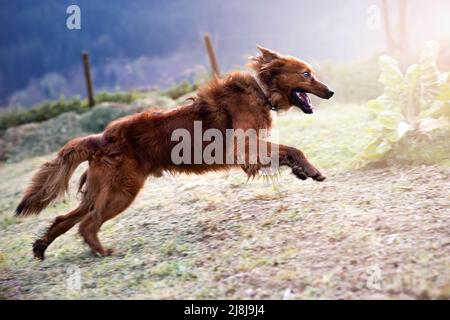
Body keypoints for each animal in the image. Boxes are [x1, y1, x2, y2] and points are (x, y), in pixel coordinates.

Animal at [14, 46, 334, 258]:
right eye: (306, 74)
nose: (330, 92)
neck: (261, 91)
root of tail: (100, 137)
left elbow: (285, 152)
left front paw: (301, 171)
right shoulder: (244, 148)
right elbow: (292, 148)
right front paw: (311, 169)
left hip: (101, 190)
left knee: (64, 219)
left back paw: (41, 248)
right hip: (121, 192)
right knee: (87, 224)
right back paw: (103, 251)